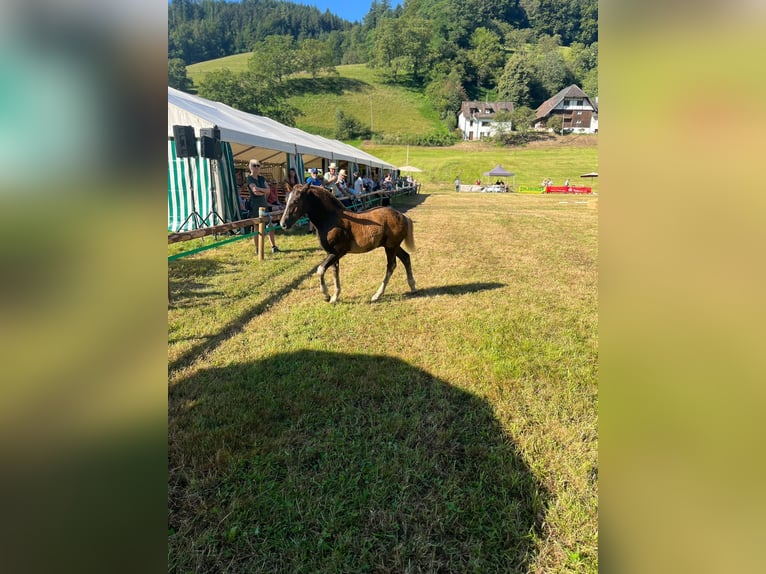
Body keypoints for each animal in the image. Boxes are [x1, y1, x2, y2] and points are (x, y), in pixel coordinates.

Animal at [280, 186, 416, 306]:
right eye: (286, 201)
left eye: (296, 201)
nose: (283, 224)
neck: (332, 219)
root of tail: (403, 216)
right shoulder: (331, 254)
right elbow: (335, 272)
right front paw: (334, 297)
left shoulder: (338, 252)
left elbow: (320, 269)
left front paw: (326, 296)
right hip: (393, 246)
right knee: (406, 258)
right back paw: (413, 286)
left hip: (390, 247)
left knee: (391, 265)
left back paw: (377, 296)